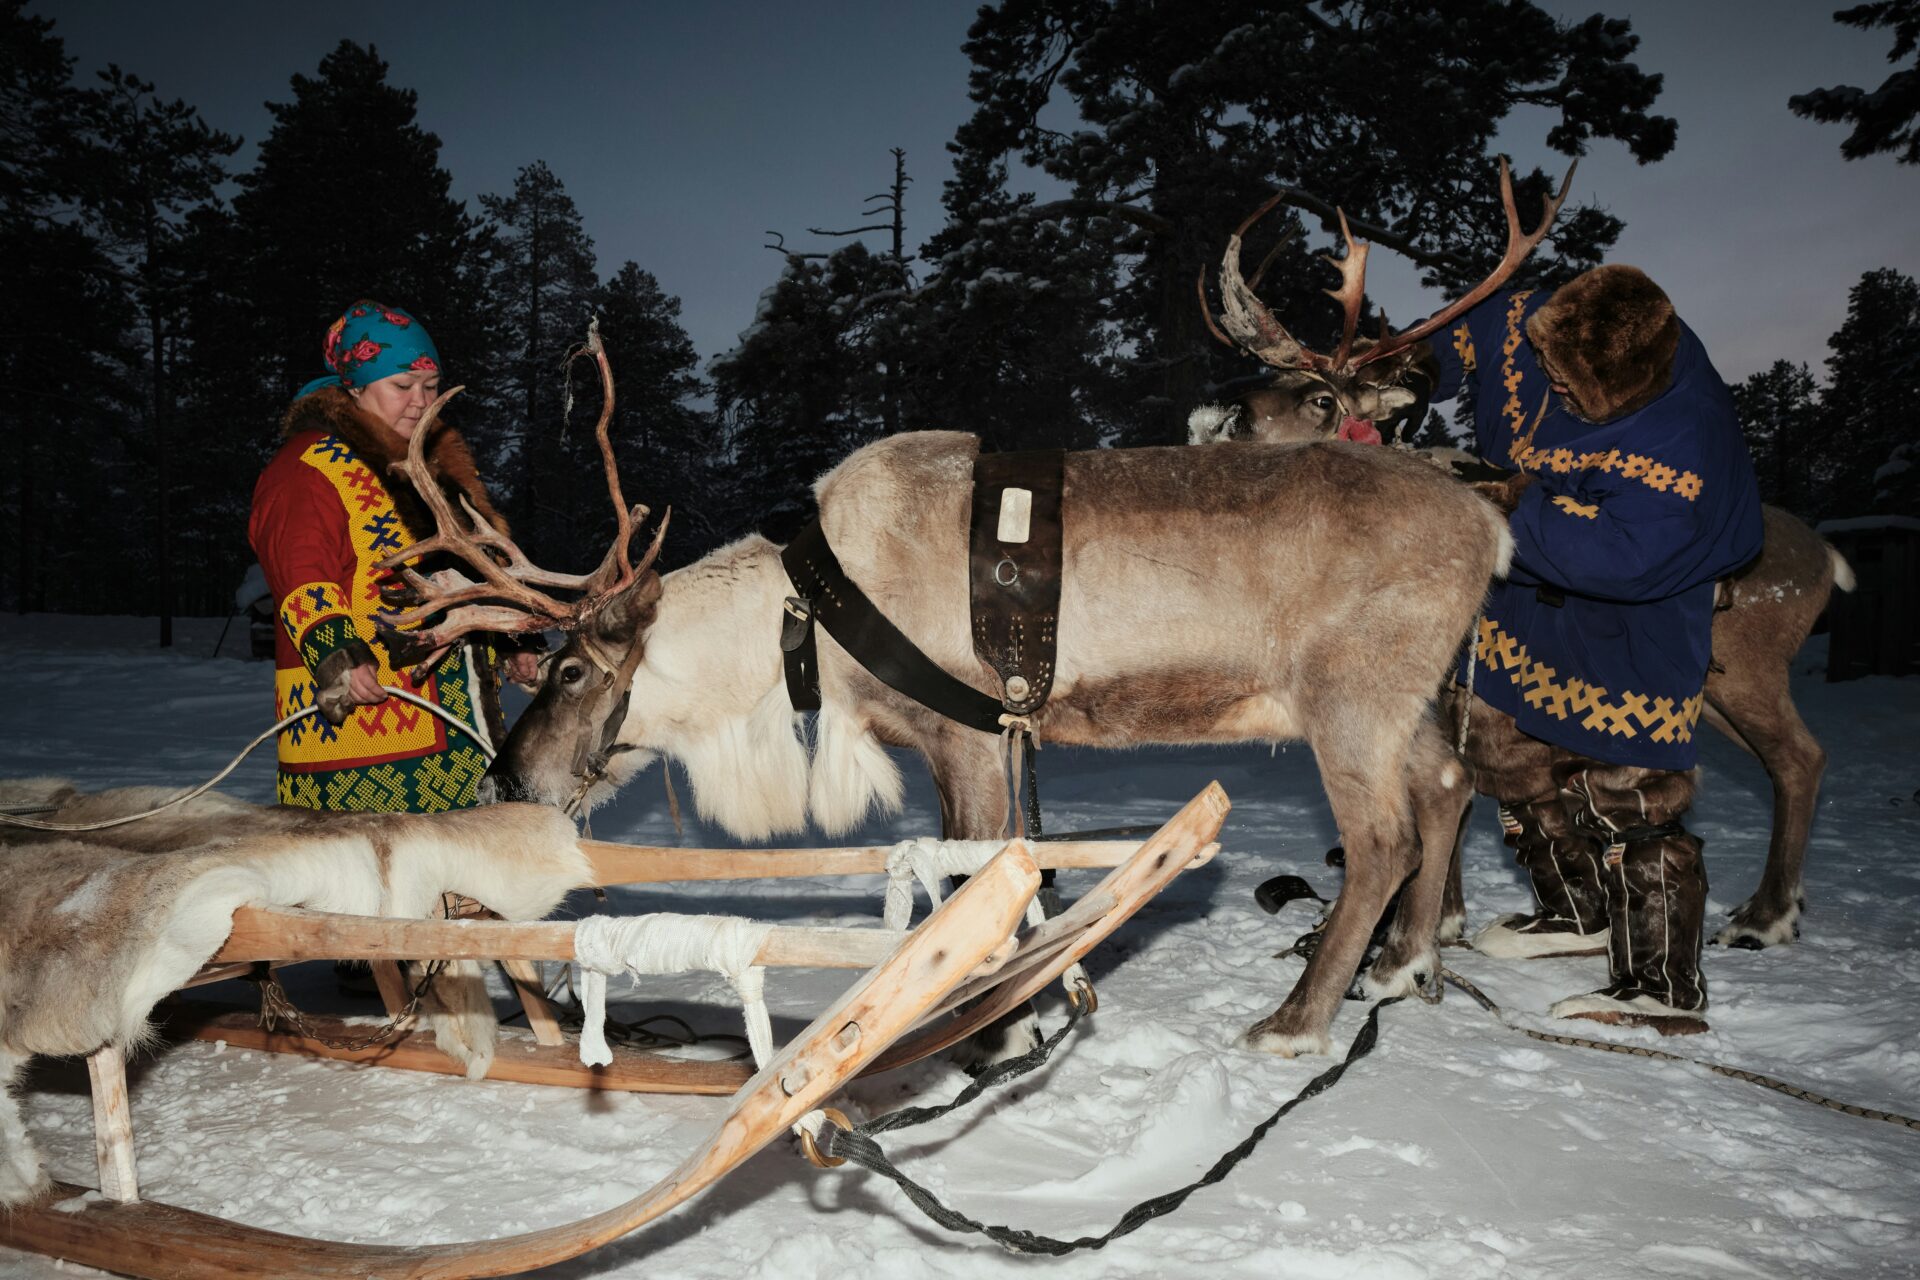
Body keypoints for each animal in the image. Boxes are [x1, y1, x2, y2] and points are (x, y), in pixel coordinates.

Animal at [370, 330, 1513, 1060]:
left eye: (568, 669)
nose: (510, 771)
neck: (805, 624)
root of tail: (1492, 526)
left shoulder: (961, 729)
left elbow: (974, 880)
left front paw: (995, 1028)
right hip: (1400, 701)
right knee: (1449, 784)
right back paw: (1404, 965)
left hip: (1350, 700)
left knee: (1383, 839)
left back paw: (1297, 1020)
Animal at [1193, 174, 1851, 951]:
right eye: (1261, 372)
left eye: (1320, 397)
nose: (1213, 414)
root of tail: (1827, 555)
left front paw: (1424, 930)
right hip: (1715, 698)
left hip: (1750, 673)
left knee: (1799, 759)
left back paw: (1764, 916)